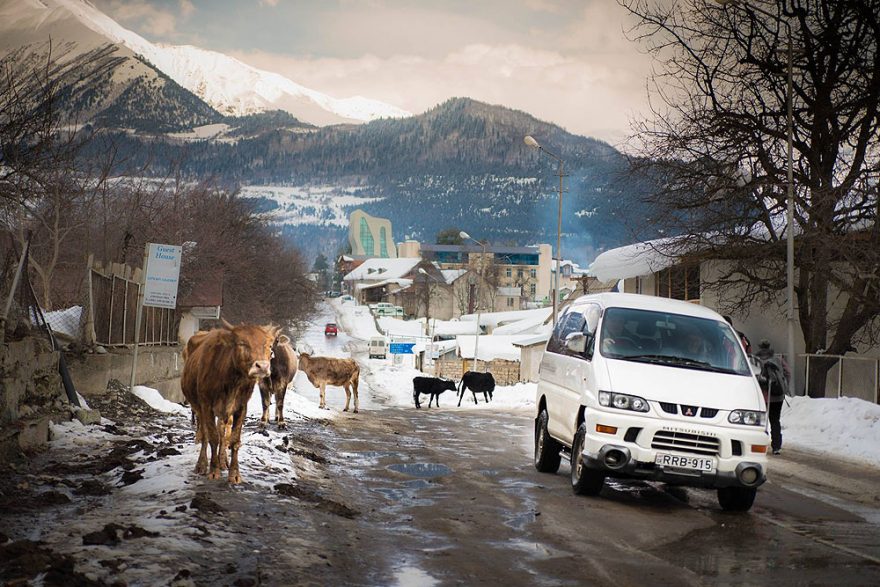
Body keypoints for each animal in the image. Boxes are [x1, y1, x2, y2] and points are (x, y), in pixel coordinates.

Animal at [182, 322, 282, 482]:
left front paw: (234, 473)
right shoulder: (206, 406)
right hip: (198, 407)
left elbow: (233, 440)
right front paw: (213, 470)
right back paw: (202, 464)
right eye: (242, 343)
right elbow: (212, 438)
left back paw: (223, 461)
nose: (262, 366)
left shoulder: (241, 407)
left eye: (269, 345)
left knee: (222, 432)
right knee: (204, 434)